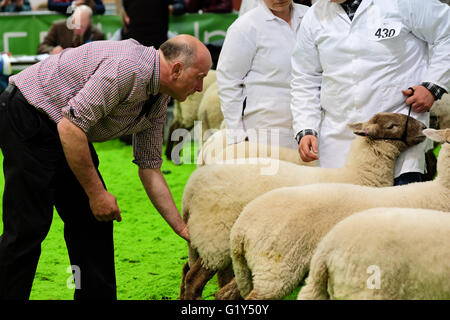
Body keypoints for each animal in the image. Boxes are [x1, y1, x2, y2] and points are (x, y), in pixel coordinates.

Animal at [180, 111, 428, 298]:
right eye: (392, 125)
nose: (424, 127)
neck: (359, 174)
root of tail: (190, 191)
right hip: (215, 238)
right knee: (194, 279)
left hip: (206, 240)